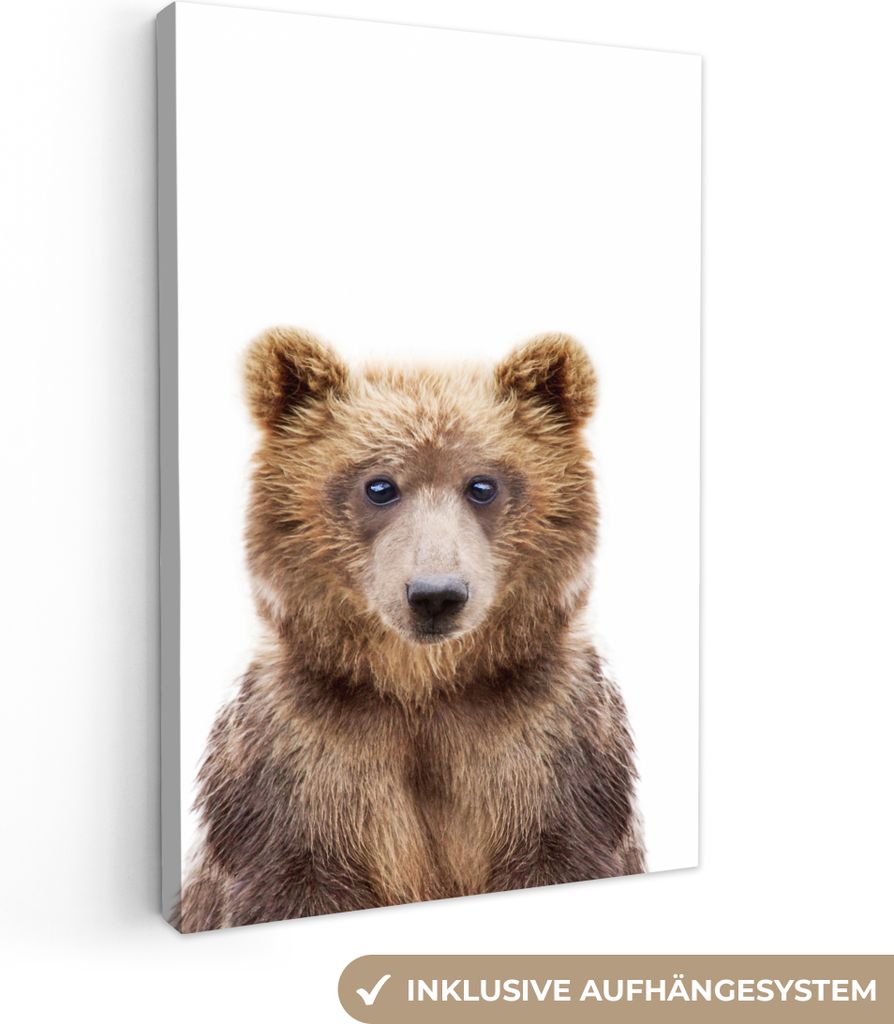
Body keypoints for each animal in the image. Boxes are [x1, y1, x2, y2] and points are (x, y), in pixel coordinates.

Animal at [174, 327, 644, 932]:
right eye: (379, 486)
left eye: (483, 485)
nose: (435, 595)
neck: (422, 689)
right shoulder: (298, 767)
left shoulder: (548, 751)